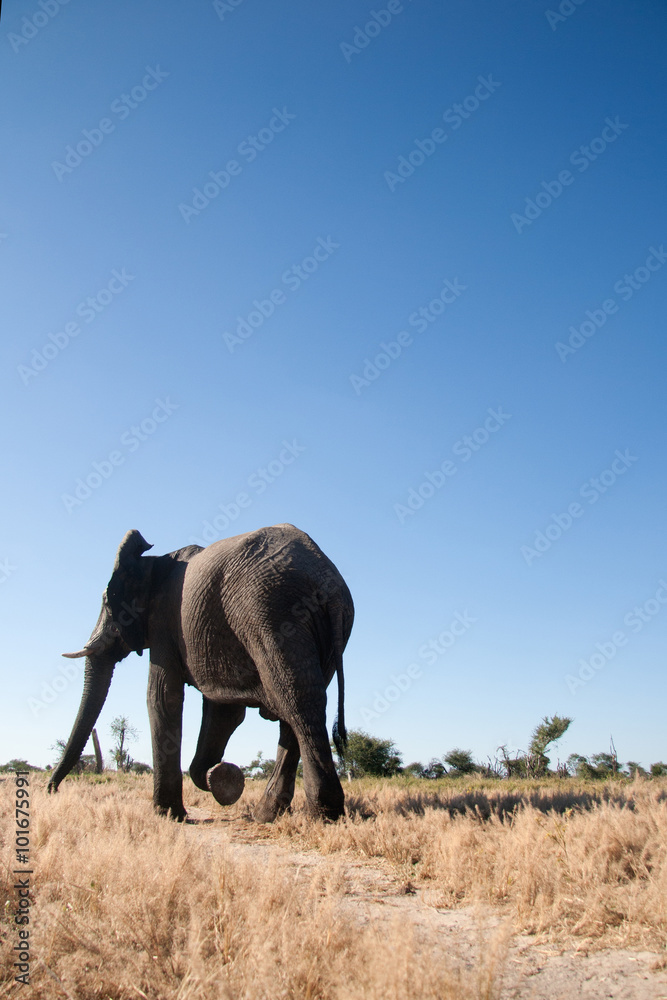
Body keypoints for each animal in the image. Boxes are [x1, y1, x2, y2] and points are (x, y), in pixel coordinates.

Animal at [48, 523, 354, 822]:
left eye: (105, 602)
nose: (52, 789)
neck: (152, 563)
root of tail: (324, 576)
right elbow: (223, 714)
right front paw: (221, 778)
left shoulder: (163, 622)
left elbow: (161, 697)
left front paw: (169, 815)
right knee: (299, 707)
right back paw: (267, 815)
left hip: (273, 612)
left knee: (296, 703)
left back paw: (322, 816)